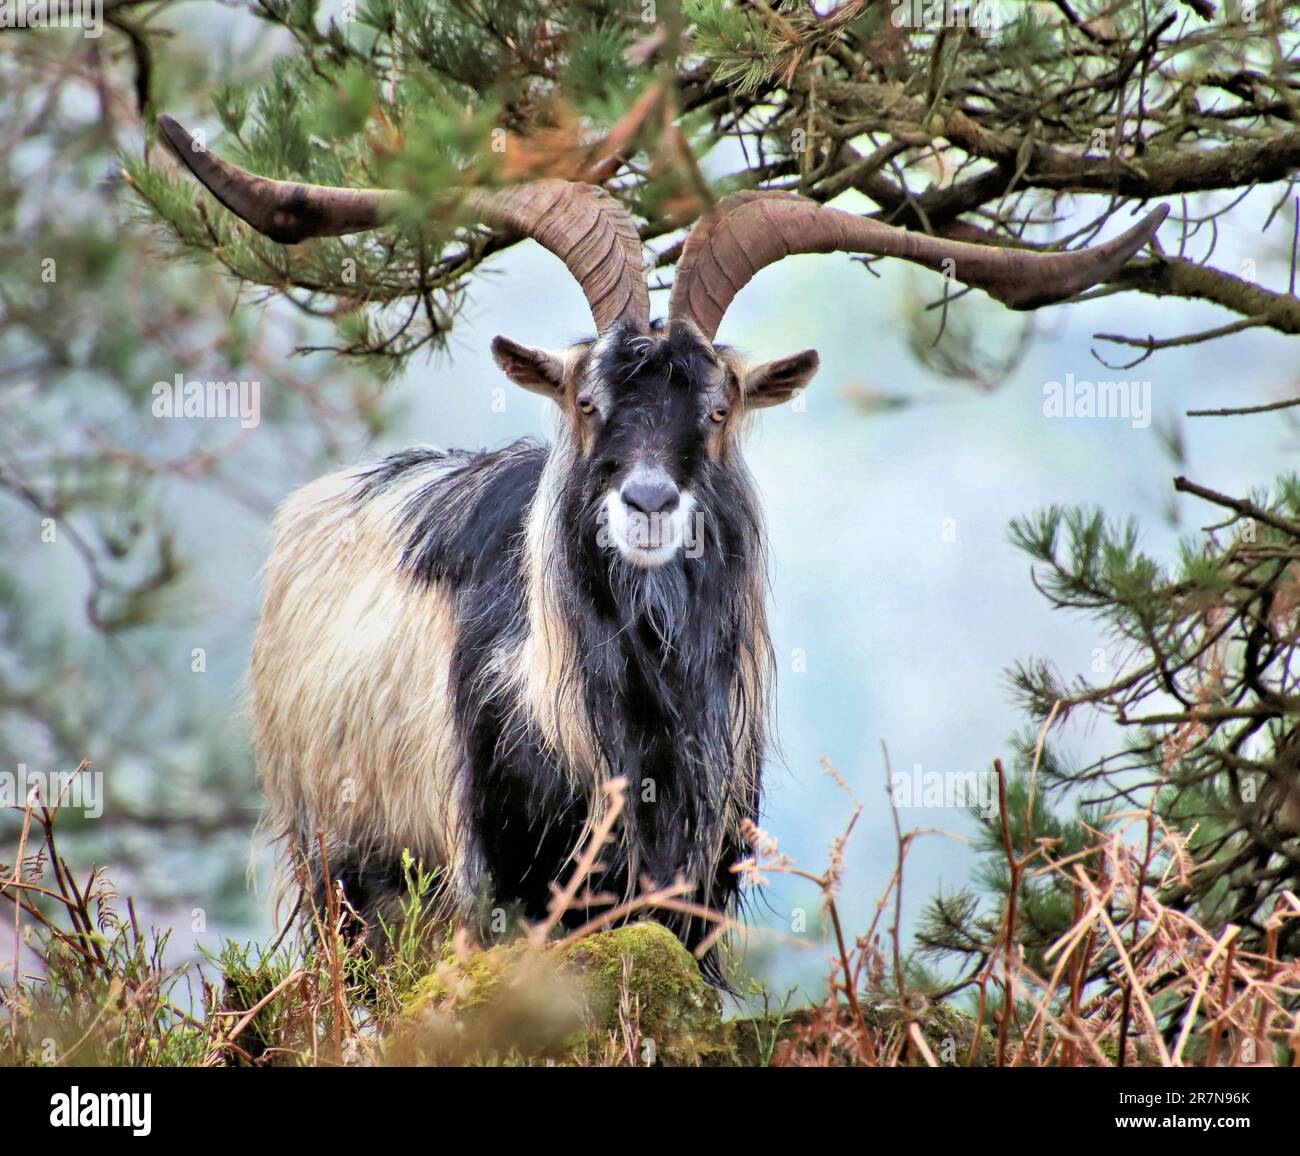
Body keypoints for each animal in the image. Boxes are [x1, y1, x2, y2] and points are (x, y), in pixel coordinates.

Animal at [158, 115, 1166, 980]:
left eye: (717, 410)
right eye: (587, 401)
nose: (647, 502)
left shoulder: (693, 888)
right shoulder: (505, 883)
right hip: (348, 874)